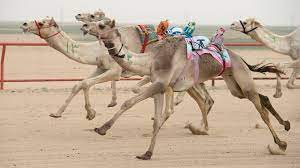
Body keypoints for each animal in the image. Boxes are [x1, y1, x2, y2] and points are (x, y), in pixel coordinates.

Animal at [86, 20, 288, 160]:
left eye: (102, 24)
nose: (86, 26)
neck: (151, 60)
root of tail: (240, 58)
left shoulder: (160, 84)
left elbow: (129, 102)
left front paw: (102, 128)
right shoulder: (159, 87)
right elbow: (156, 119)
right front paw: (147, 153)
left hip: (241, 77)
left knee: (261, 111)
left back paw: (281, 143)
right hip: (234, 85)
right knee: (259, 97)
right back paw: (285, 125)